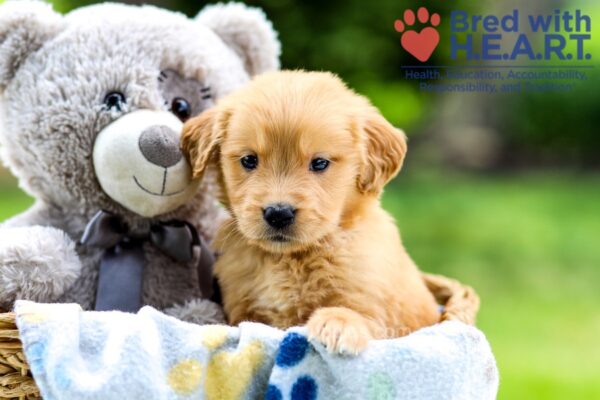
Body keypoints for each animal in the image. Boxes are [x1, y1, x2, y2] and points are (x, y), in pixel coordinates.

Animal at [180, 71, 438, 354]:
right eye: (249, 160)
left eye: (320, 163)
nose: (278, 213)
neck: (288, 259)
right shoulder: (242, 310)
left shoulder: (376, 310)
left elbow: (358, 314)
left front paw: (336, 324)